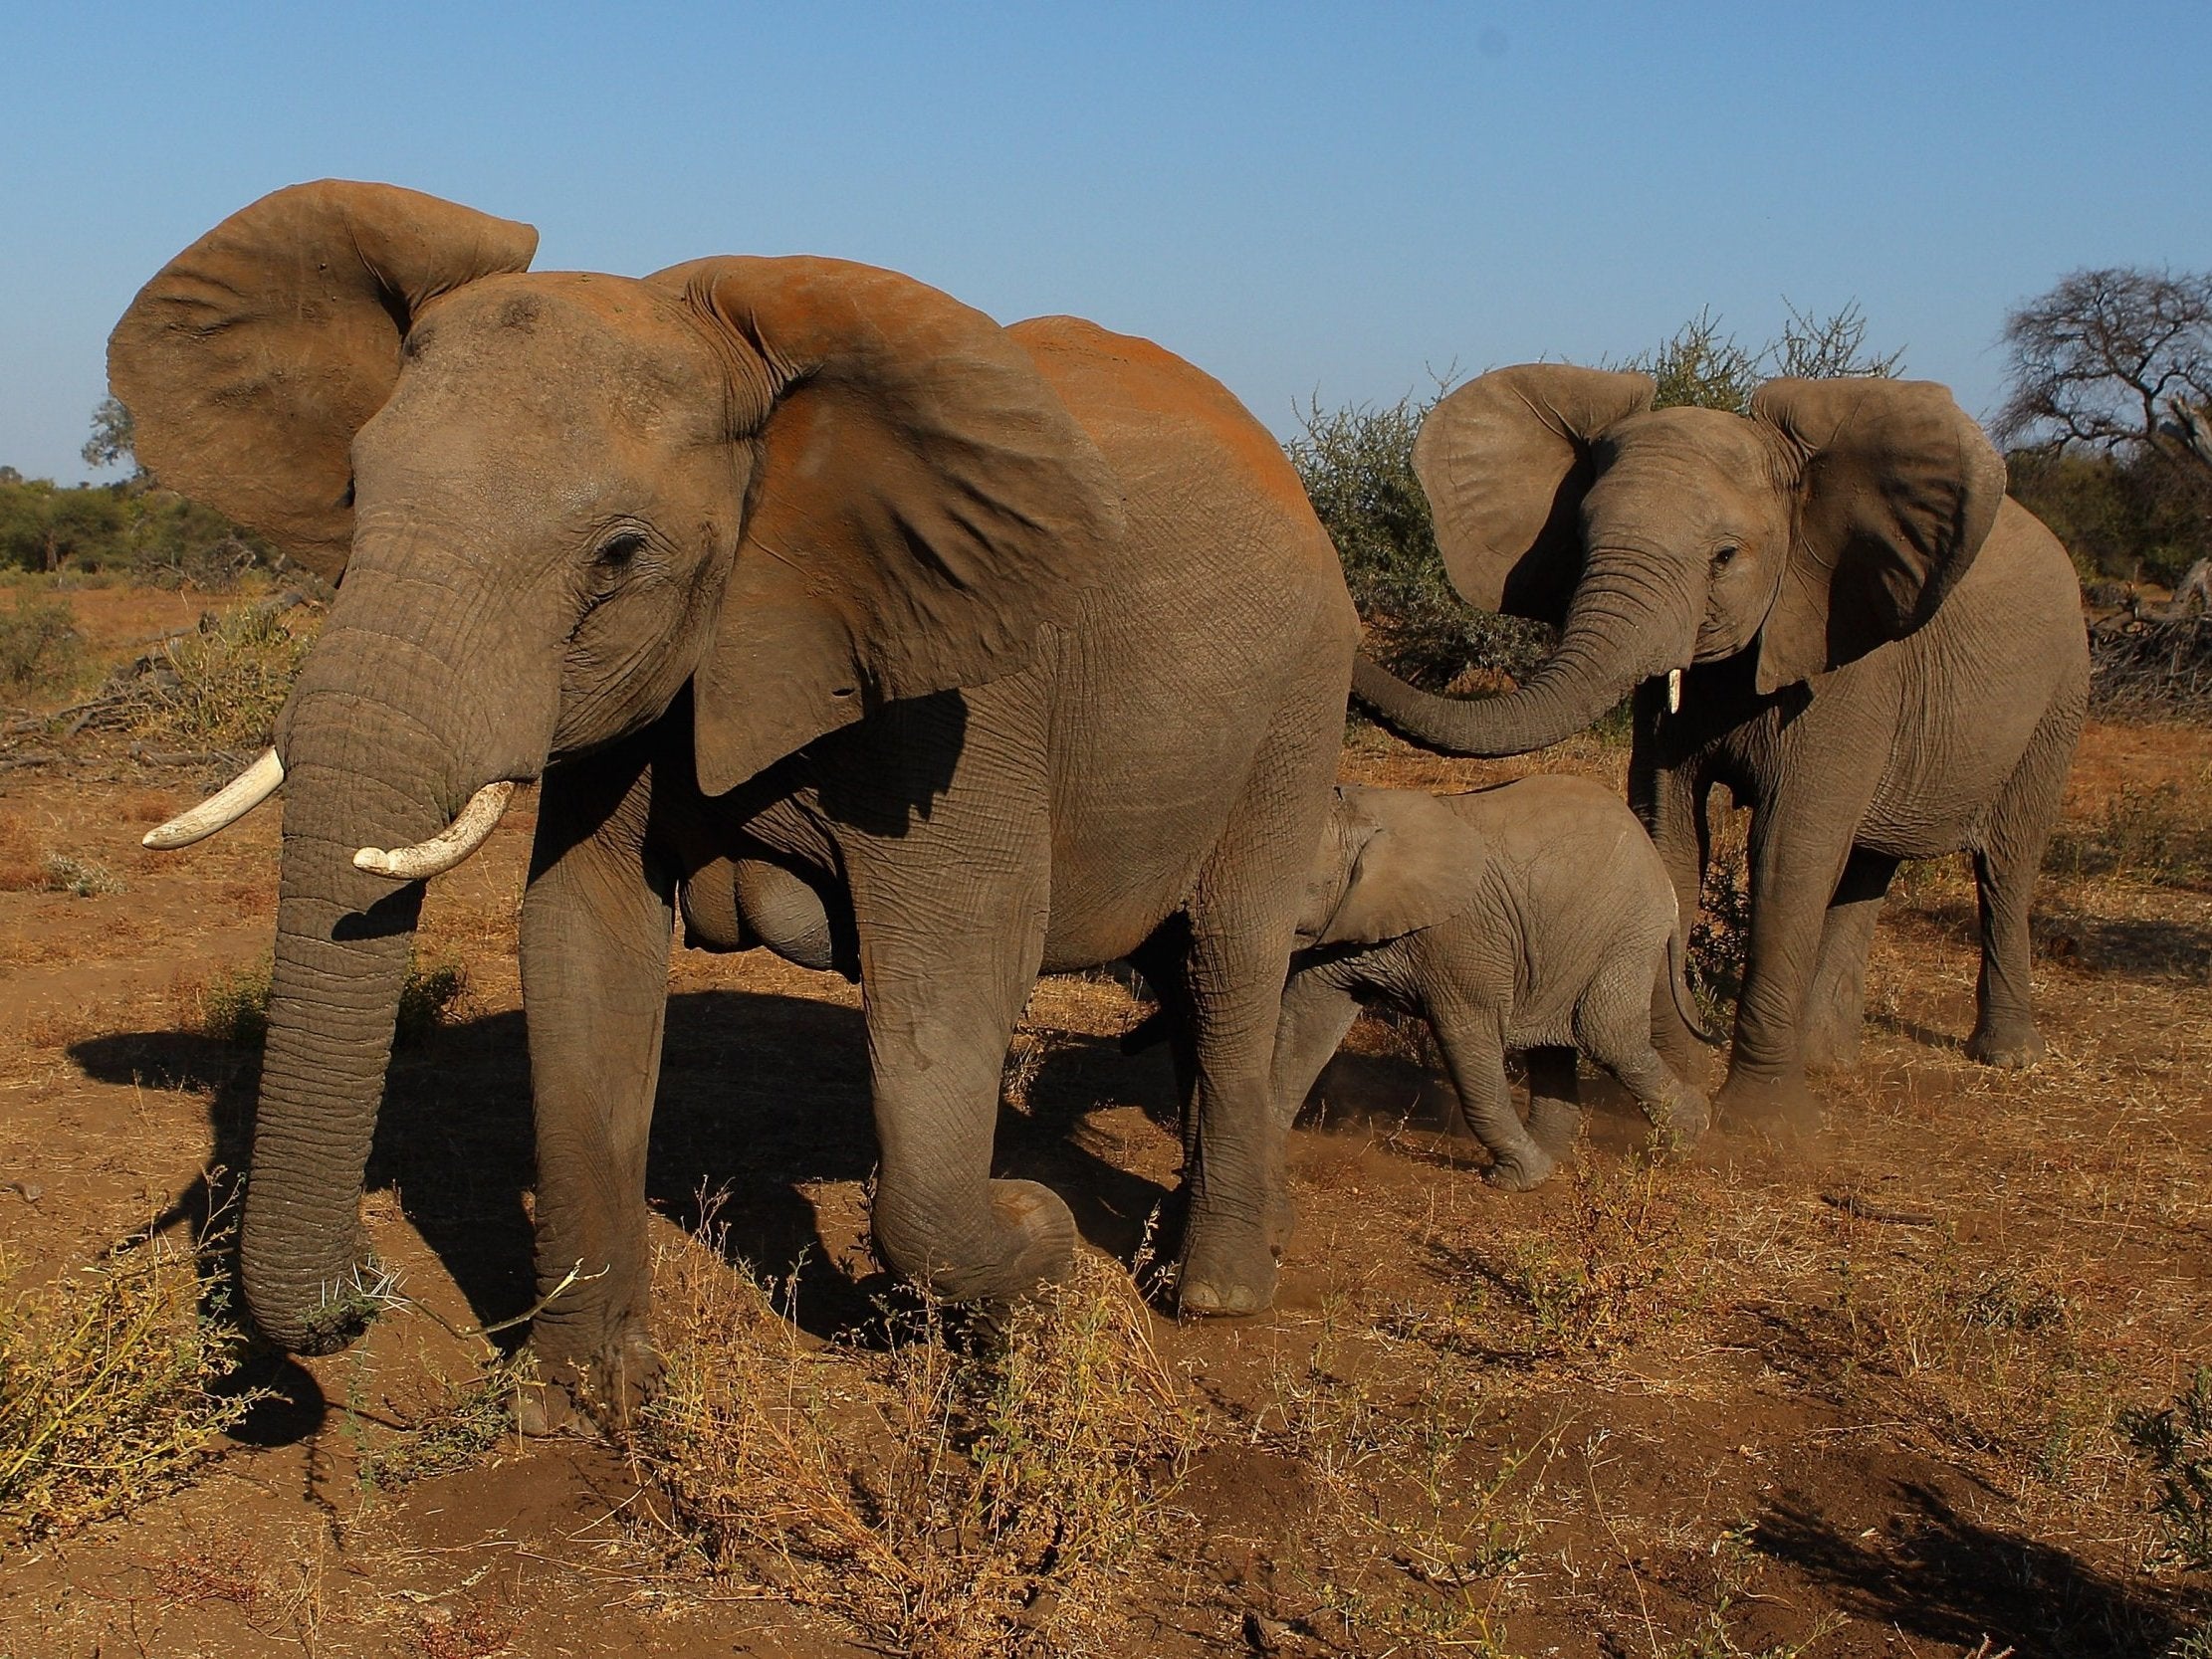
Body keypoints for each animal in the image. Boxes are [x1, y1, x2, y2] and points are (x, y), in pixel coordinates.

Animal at [116, 179, 1362, 1415]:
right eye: (356, 491)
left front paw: (1033, 1238)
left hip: (1299, 699)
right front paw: (592, 1396)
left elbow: (957, 971)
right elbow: (581, 943)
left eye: (620, 554)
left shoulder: (959, 701)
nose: (367, 1294)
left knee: (1228, 957)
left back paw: (1215, 1291)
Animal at [1264, 782, 1707, 1185]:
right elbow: (1306, 1020)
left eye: (1302, 883)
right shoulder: (1345, 921)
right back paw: (1556, 1152)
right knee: (1554, 1043)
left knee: (1605, 1033)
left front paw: (1518, 1179)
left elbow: (1467, 1036)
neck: (1363, 818)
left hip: (1626, 926)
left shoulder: (1461, 937)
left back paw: (1693, 1136)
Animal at [1344, 362, 2088, 1119]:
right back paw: (1826, 1057)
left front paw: (1759, 1121)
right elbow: (1669, 828)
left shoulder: (1845, 657)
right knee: (1868, 865)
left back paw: (2008, 1055)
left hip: (2061, 691)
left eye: (1725, 558)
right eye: (1579, 540)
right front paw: (1684, 1071)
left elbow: (1789, 848)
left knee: (2008, 859)